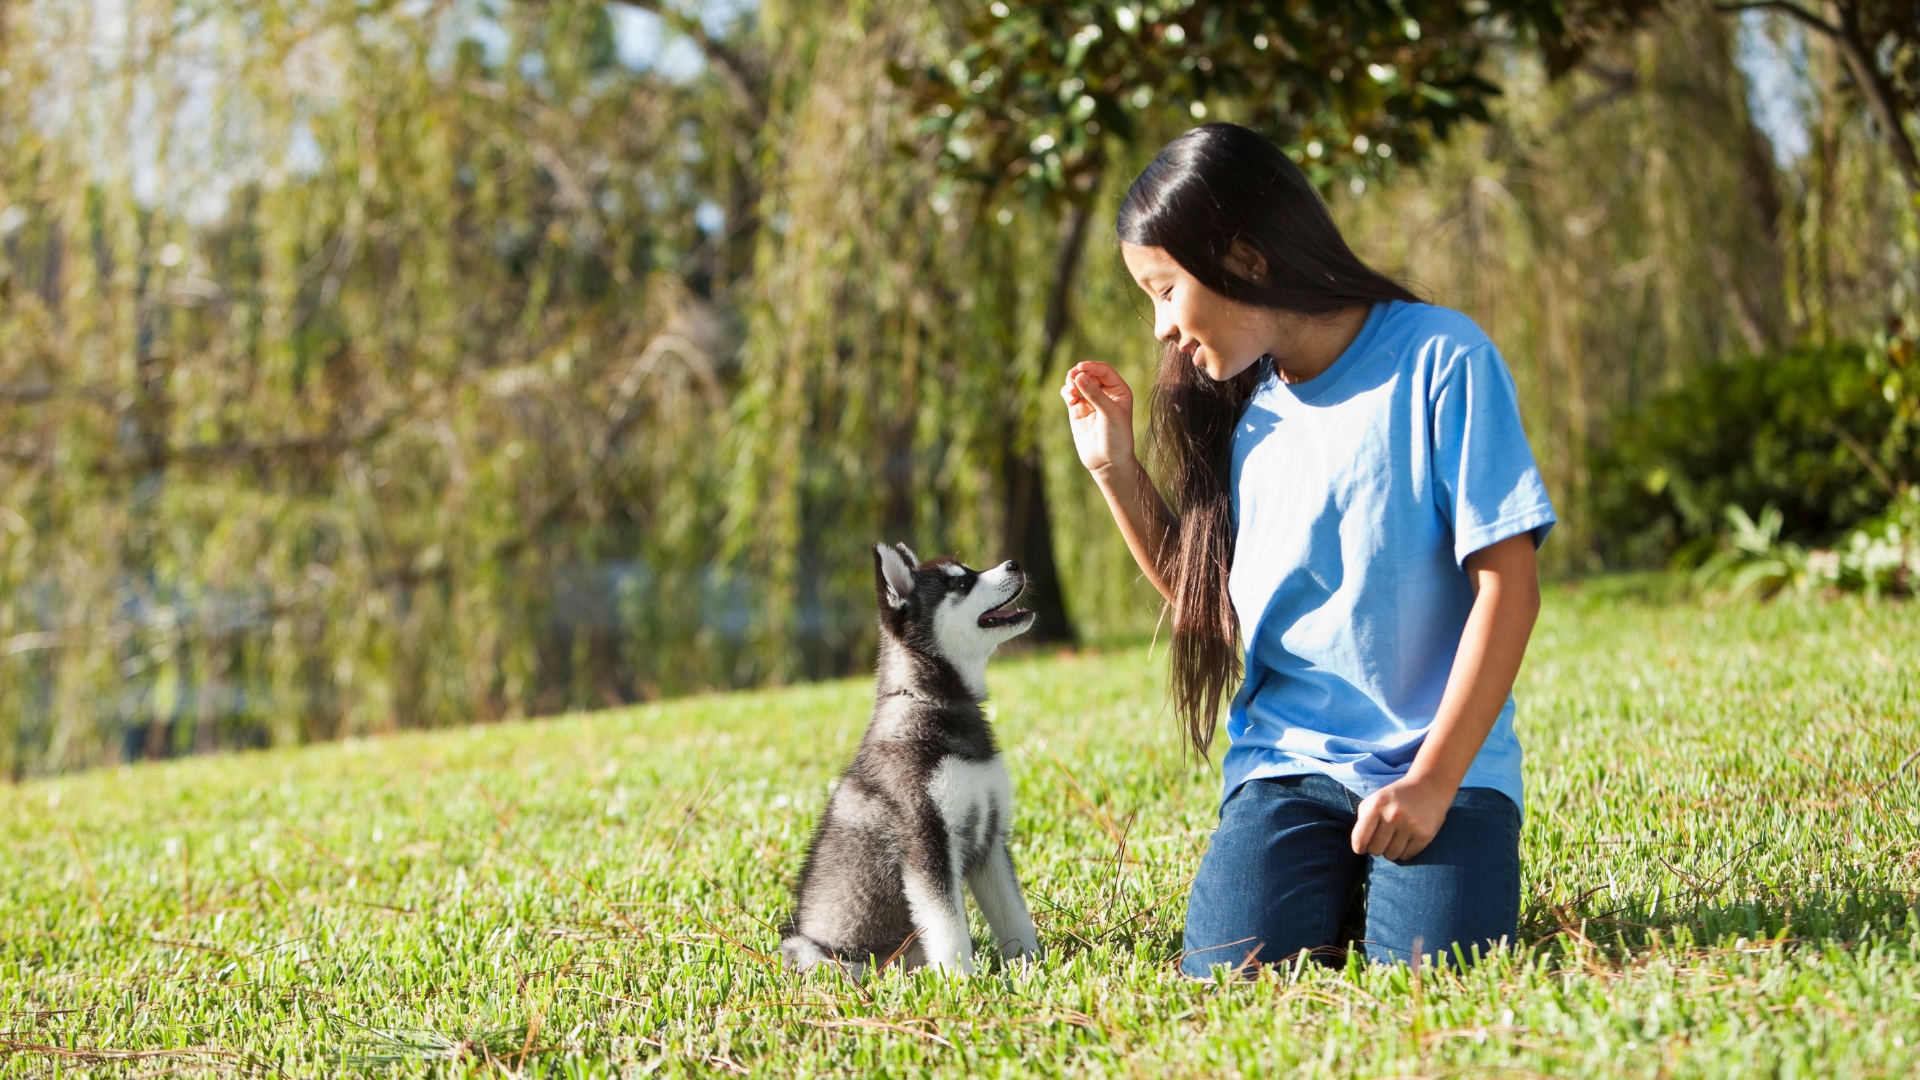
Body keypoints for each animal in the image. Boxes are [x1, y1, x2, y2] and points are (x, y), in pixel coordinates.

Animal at [779, 541, 1044, 972]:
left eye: (968, 571)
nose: (1015, 563)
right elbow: (949, 927)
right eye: (961, 584)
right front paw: (963, 979)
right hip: (816, 952)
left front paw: (1031, 965)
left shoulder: (990, 838)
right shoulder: (926, 843)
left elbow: (1014, 915)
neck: (933, 703)